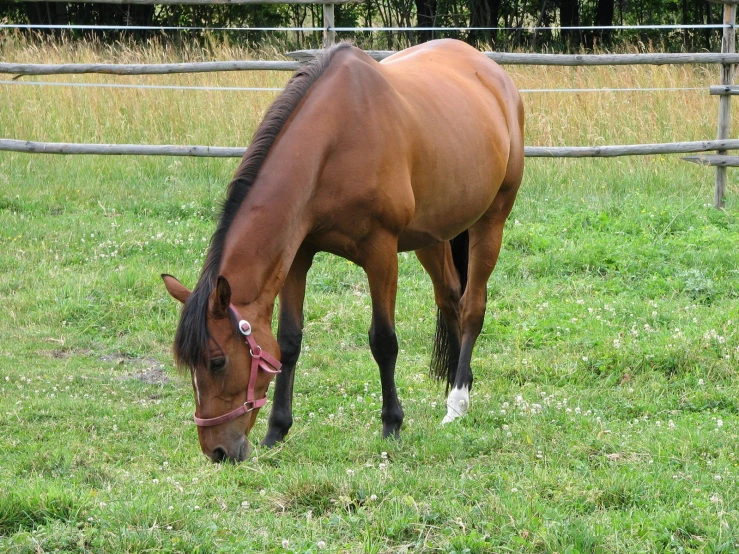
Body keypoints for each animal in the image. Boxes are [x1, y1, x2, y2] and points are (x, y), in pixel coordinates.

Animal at [162, 40, 524, 462]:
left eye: (217, 361)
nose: (218, 451)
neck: (334, 141)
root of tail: (494, 74)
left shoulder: (380, 253)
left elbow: (383, 341)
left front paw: (391, 424)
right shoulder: (298, 255)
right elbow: (289, 341)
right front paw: (276, 430)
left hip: (491, 220)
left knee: (472, 308)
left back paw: (458, 402)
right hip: (433, 235)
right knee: (450, 299)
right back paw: (454, 382)